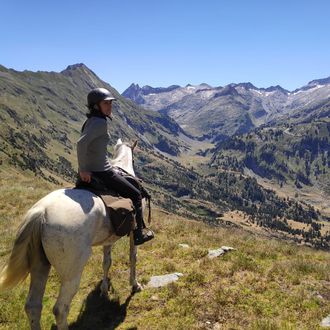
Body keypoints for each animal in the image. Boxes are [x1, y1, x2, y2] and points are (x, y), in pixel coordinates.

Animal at [0, 138, 146, 330]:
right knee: (60, 309)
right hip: (72, 272)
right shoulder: (132, 235)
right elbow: (133, 257)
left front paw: (104, 289)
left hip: (40, 264)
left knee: (33, 306)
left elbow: (106, 262)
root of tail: (41, 212)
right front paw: (134, 284)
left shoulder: (108, 239)